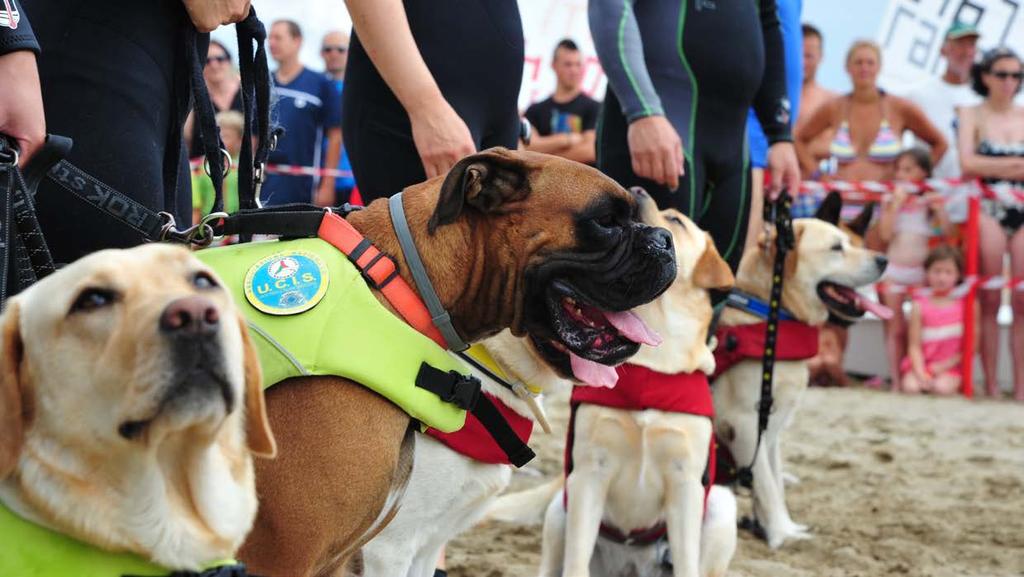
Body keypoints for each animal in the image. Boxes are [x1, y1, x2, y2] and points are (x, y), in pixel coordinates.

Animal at [708, 217, 892, 549]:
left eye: (850, 241)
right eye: (836, 247)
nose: (884, 259)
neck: (769, 313)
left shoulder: (771, 428)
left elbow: (773, 482)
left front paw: (779, 526)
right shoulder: (743, 423)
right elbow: (767, 485)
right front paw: (783, 534)